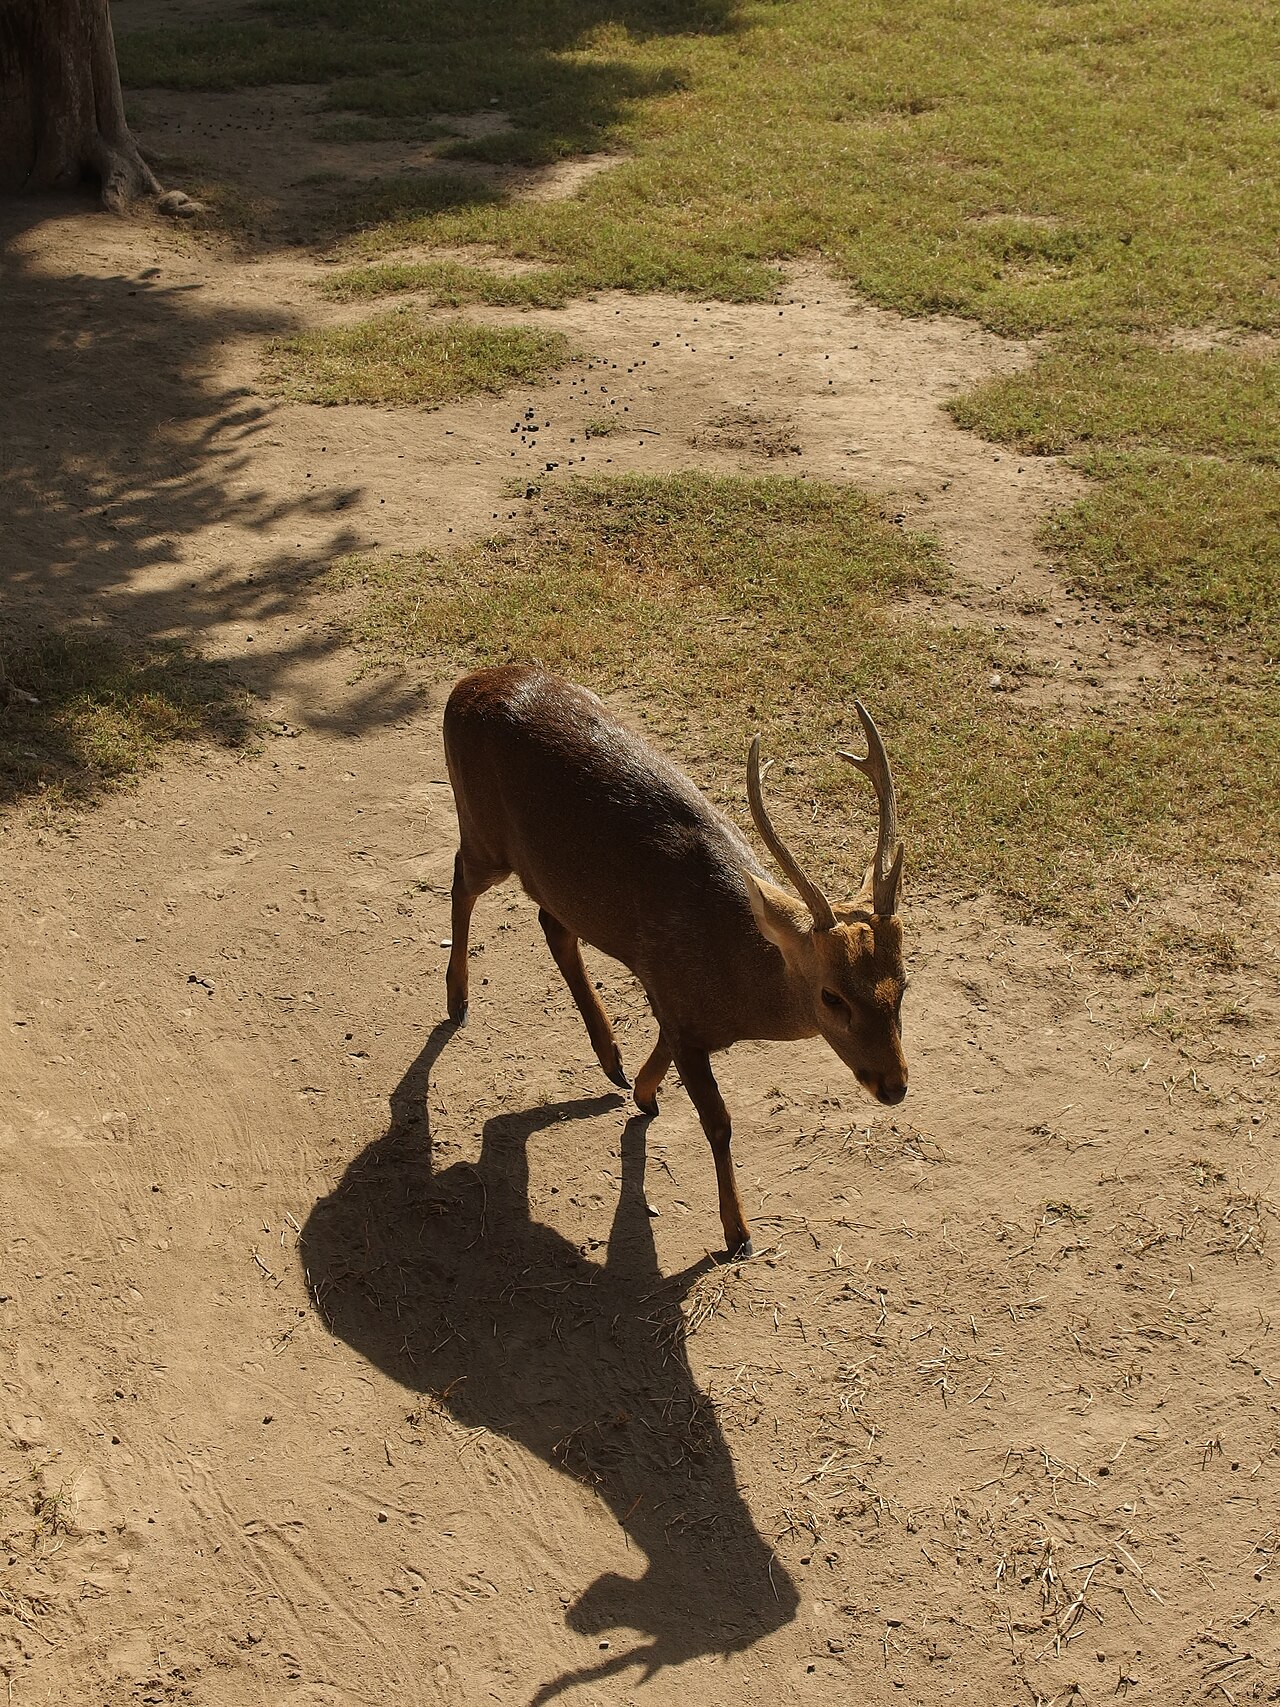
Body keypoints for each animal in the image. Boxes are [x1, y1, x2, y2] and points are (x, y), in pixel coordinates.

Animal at [442, 664, 908, 1259]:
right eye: (832, 996)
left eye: (903, 985)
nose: (895, 1085)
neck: (735, 986)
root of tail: (464, 688)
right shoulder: (676, 996)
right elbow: (718, 1121)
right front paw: (738, 1232)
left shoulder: (673, 1001)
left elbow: (663, 1053)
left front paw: (643, 1092)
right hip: (482, 832)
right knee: (461, 880)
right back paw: (457, 1000)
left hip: (549, 878)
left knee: (552, 924)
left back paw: (611, 1060)